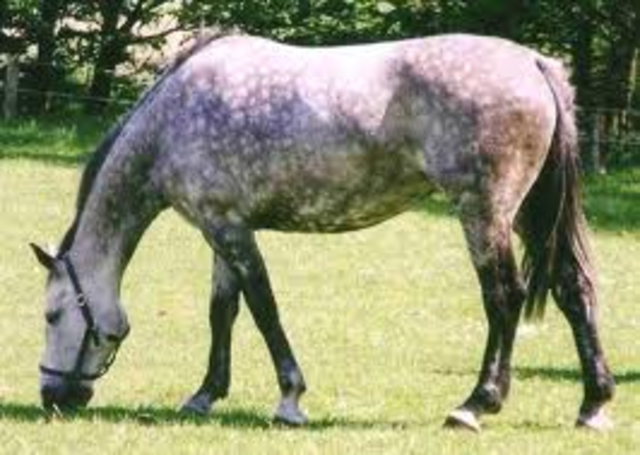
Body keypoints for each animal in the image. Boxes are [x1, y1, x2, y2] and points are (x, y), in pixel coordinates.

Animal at [30, 32, 614, 431]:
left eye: (52, 314)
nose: (52, 396)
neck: (172, 120)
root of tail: (532, 62)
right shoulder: (221, 228)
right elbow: (223, 312)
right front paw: (204, 395)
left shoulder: (231, 231)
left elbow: (264, 310)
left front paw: (290, 399)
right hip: (532, 213)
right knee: (573, 290)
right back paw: (594, 404)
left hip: (484, 212)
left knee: (503, 297)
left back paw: (476, 404)